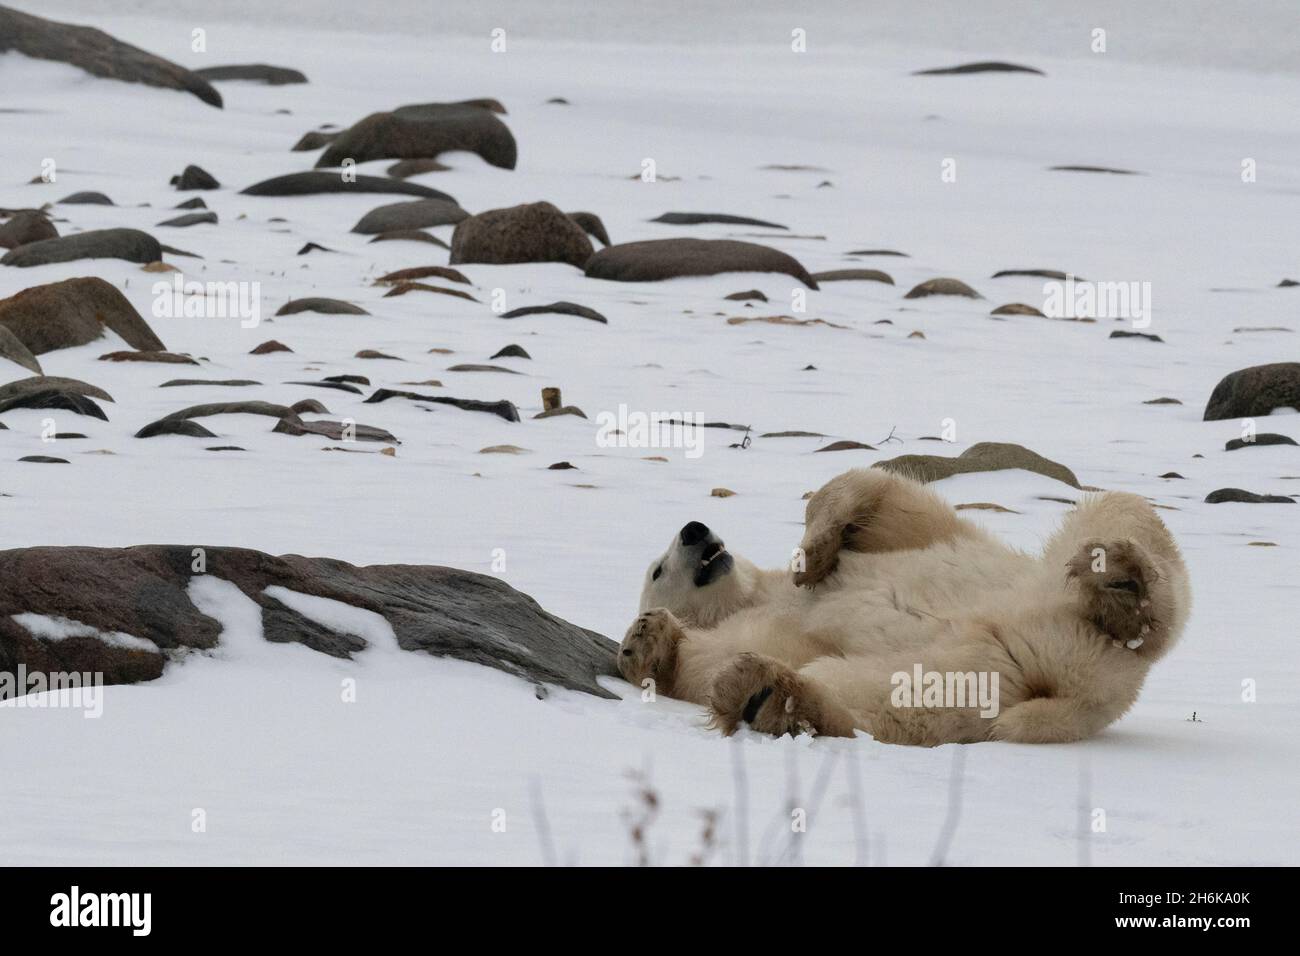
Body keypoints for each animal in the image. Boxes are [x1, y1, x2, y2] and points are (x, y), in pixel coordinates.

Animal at [618, 470, 1190, 749]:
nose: (694, 529)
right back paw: (765, 694)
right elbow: (697, 666)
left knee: (1119, 513)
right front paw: (645, 641)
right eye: (658, 570)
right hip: (978, 673)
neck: (756, 595)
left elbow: (890, 504)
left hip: (1051, 585)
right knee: (886, 700)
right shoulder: (745, 632)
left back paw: (1117, 581)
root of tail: (1087, 693)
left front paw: (812, 553)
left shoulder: (880, 547)